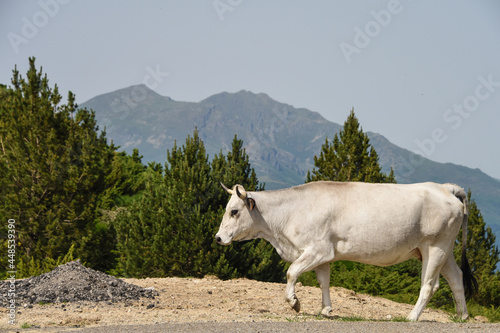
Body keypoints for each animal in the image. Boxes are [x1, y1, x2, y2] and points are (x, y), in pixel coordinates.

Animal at [215, 180, 476, 320]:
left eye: (234, 211)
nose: (218, 238)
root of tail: (445, 188)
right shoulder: (323, 256)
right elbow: (324, 282)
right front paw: (326, 310)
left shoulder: (318, 250)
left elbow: (291, 272)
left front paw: (294, 302)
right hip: (444, 250)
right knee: (456, 277)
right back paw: (462, 316)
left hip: (435, 247)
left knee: (429, 285)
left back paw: (411, 317)